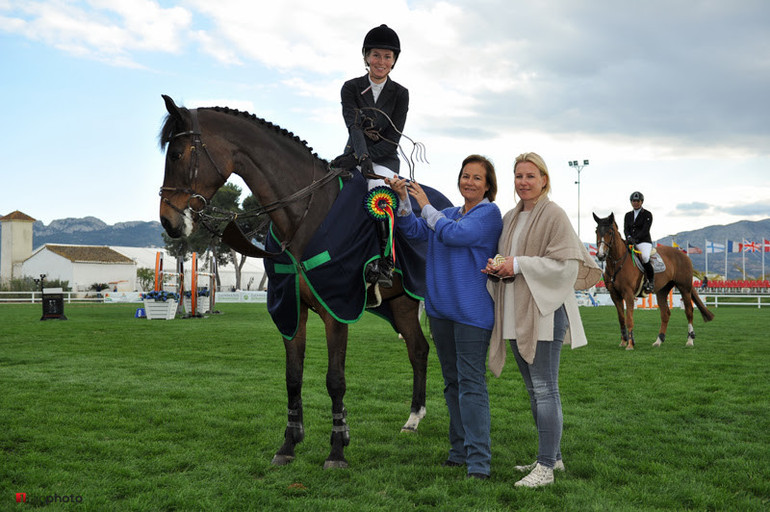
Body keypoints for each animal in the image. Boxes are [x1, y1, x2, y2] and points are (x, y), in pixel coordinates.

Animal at [156, 95, 432, 468]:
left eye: (176, 154)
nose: (168, 222)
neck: (302, 213)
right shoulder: (291, 309)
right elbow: (293, 378)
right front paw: (289, 443)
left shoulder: (336, 308)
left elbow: (335, 380)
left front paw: (336, 449)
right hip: (400, 303)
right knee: (418, 349)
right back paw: (413, 419)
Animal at [592, 211, 712, 348]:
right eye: (596, 231)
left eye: (610, 232)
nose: (600, 255)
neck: (617, 263)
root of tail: (683, 254)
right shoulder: (614, 295)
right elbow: (621, 318)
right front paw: (623, 341)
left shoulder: (628, 294)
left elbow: (629, 318)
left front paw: (630, 344)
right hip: (662, 291)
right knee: (665, 314)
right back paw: (659, 340)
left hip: (684, 288)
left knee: (689, 311)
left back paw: (690, 340)